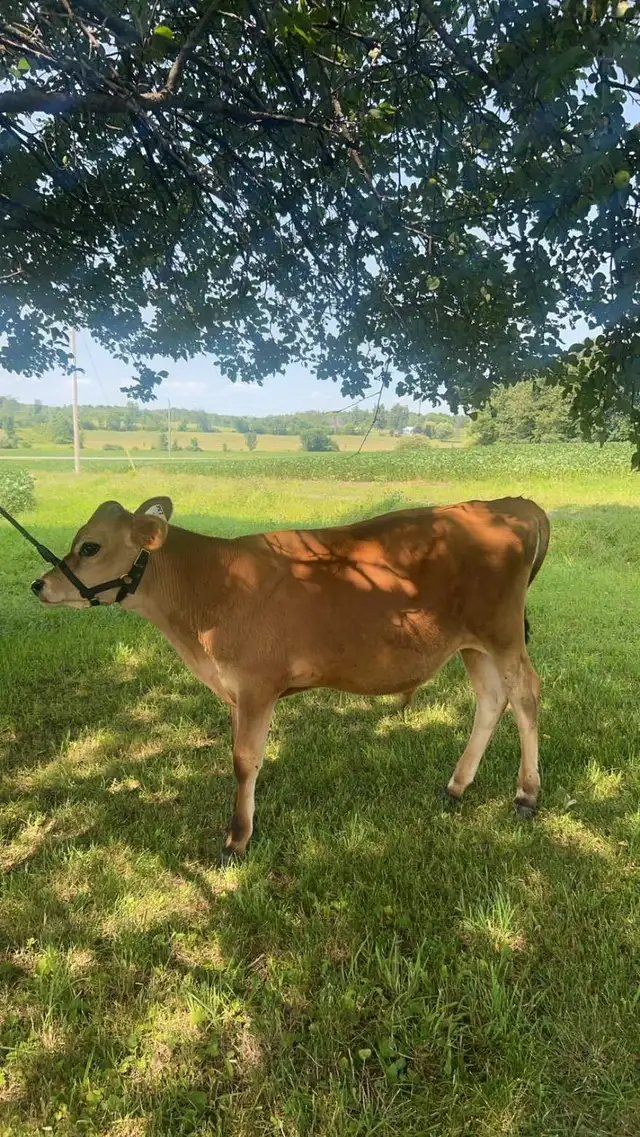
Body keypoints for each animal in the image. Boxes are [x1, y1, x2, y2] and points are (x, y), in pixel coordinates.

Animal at [31, 495, 550, 861]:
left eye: (90, 546)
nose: (39, 585)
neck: (208, 588)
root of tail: (508, 504)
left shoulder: (256, 685)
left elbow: (244, 760)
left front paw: (237, 839)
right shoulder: (237, 693)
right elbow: (244, 756)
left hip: (502, 635)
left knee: (525, 696)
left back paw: (526, 794)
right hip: (472, 645)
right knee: (492, 699)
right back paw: (457, 785)